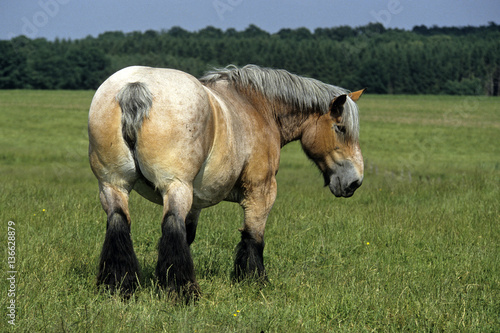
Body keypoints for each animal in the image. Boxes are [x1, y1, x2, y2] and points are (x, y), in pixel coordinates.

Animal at [88, 63, 366, 296]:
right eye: (340, 128)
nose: (355, 182)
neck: (256, 106)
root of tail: (135, 88)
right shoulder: (261, 191)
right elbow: (253, 237)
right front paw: (254, 279)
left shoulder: (196, 202)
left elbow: (188, 235)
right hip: (174, 187)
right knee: (171, 225)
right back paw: (183, 290)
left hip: (113, 185)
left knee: (119, 223)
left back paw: (119, 284)